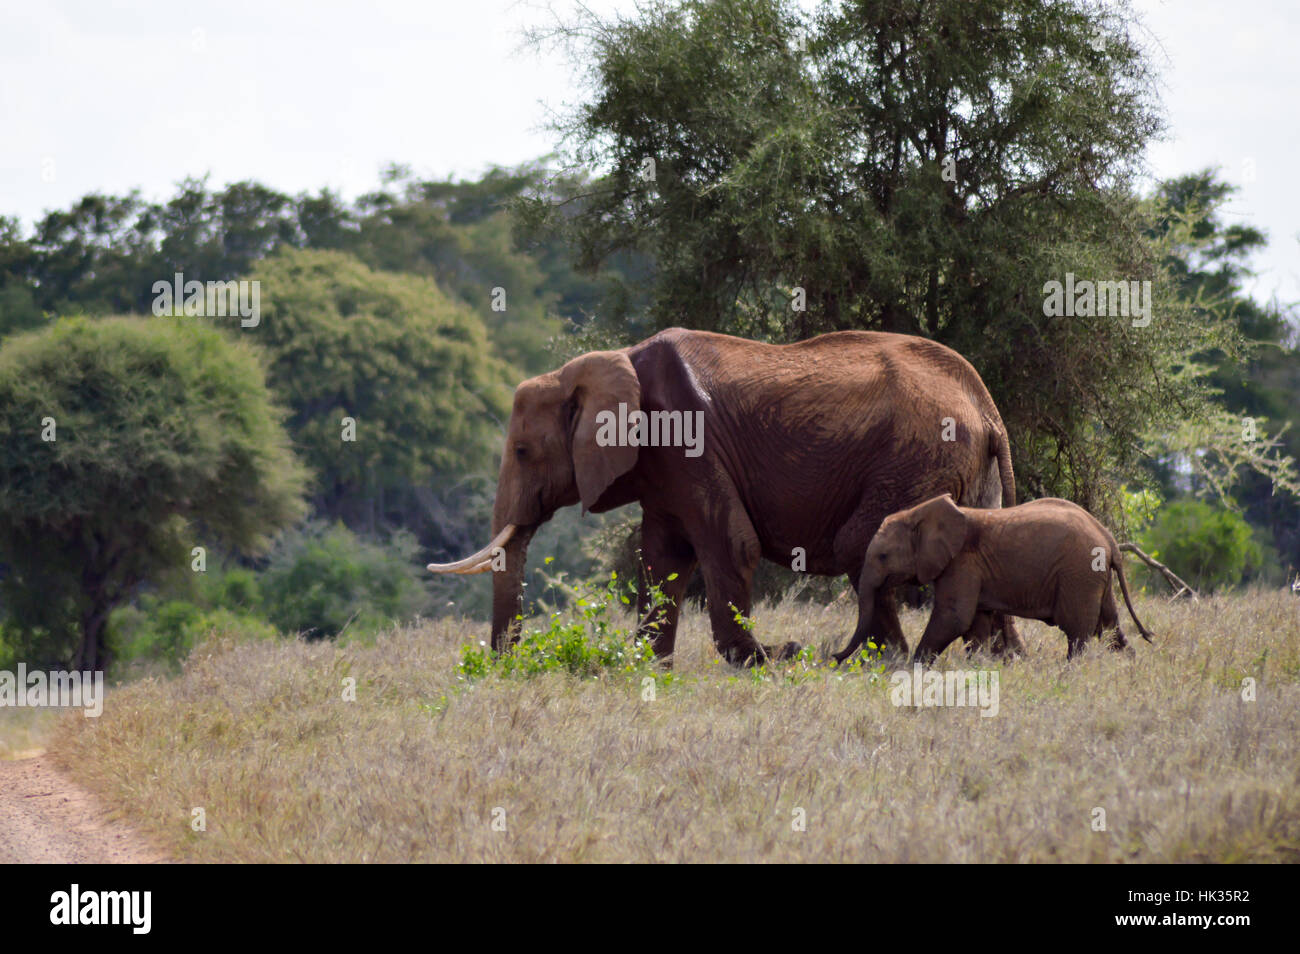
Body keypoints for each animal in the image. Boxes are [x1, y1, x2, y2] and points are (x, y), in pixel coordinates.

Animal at [428, 326, 1023, 666]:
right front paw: (648, 667)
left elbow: (730, 544)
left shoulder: (687, 440)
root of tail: (988, 411)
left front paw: (763, 660)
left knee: (860, 546)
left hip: (918, 455)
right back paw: (998, 660)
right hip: (963, 468)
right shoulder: (661, 467)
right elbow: (662, 558)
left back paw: (886, 661)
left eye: (523, 450)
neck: (608, 362)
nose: (505, 663)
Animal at [832, 494, 1154, 665]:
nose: (834, 657)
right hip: (1094, 577)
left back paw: (1072, 673)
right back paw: (1130, 666)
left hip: (1078, 574)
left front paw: (913, 669)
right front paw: (979, 667)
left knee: (1078, 632)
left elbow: (953, 617)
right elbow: (975, 624)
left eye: (883, 556)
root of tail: (1110, 541)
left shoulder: (962, 562)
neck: (920, 512)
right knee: (1111, 627)